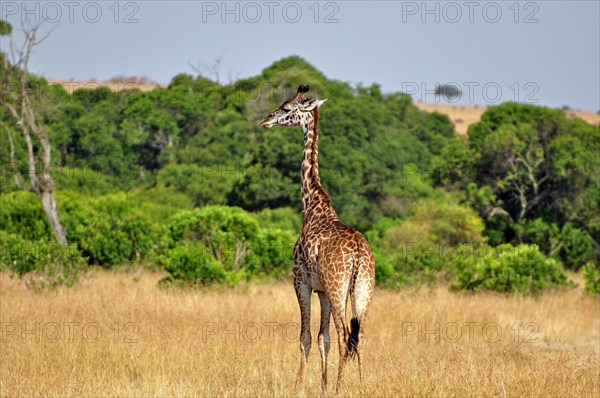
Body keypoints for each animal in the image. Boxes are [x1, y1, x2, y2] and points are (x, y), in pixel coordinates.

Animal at [258, 84, 376, 394]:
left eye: (287, 108)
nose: (265, 120)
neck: (312, 203)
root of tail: (358, 254)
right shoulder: (321, 290)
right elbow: (324, 337)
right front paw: (322, 384)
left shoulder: (301, 282)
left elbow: (306, 336)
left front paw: (299, 385)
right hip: (363, 289)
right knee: (360, 334)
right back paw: (361, 385)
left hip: (338, 288)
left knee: (346, 334)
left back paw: (340, 387)